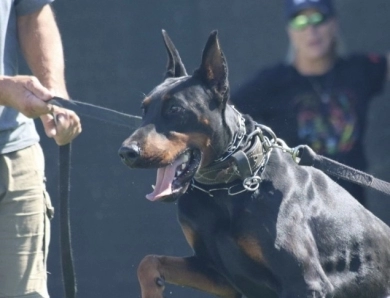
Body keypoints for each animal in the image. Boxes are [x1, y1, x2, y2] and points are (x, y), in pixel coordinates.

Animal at [117, 30, 390, 298]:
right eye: (144, 109)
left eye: (175, 108)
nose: (126, 152)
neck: (226, 185)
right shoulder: (217, 272)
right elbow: (148, 262)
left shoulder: (305, 282)